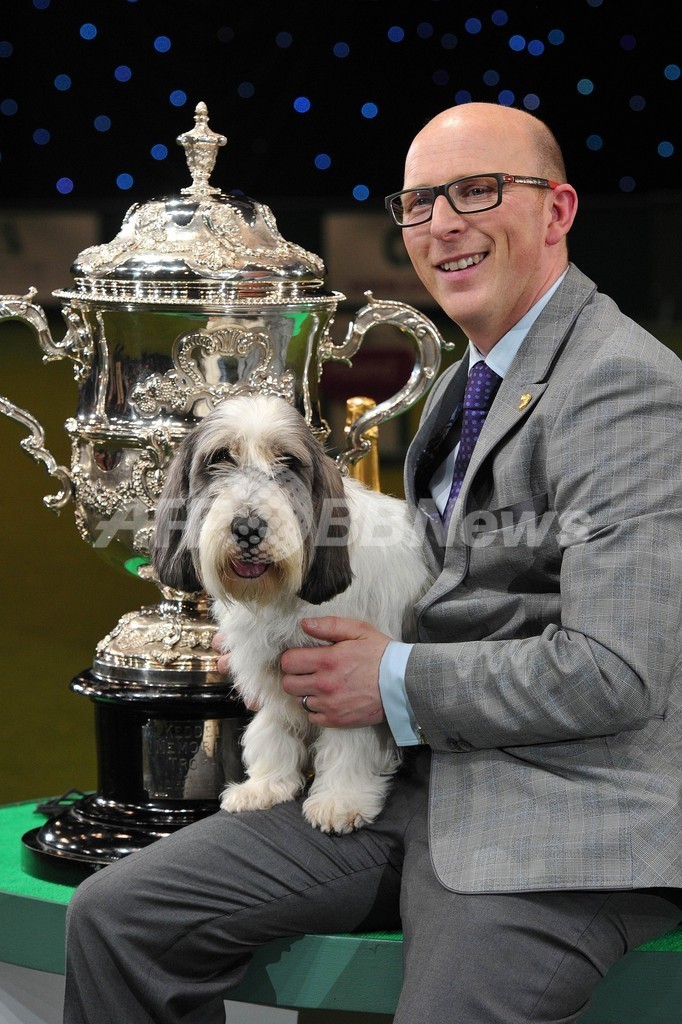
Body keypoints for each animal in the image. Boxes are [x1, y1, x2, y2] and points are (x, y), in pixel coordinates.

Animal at [152, 395, 430, 835]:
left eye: (287, 461)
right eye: (219, 458)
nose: (248, 527)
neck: (279, 594)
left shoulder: (351, 682)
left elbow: (349, 741)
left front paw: (340, 799)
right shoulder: (268, 670)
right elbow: (273, 728)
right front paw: (267, 784)